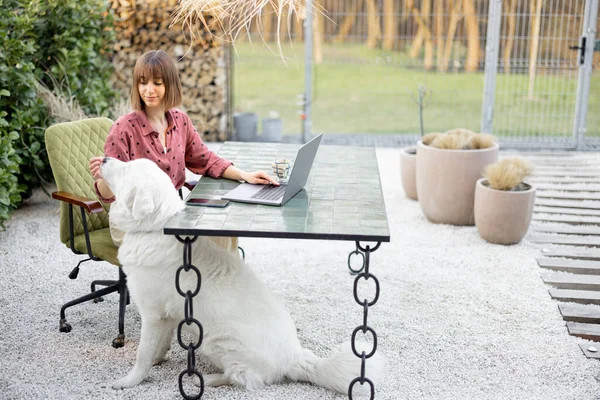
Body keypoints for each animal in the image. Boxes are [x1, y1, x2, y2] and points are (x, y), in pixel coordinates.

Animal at [101, 156, 382, 394]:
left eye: (126, 169)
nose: (103, 158)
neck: (153, 227)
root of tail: (295, 357)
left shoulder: (153, 315)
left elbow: (143, 353)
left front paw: (130, 381)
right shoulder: (167, 317)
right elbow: (158, 346)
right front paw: (158, 360)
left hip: (214, 339)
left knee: (243, 378)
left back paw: (207, 380)